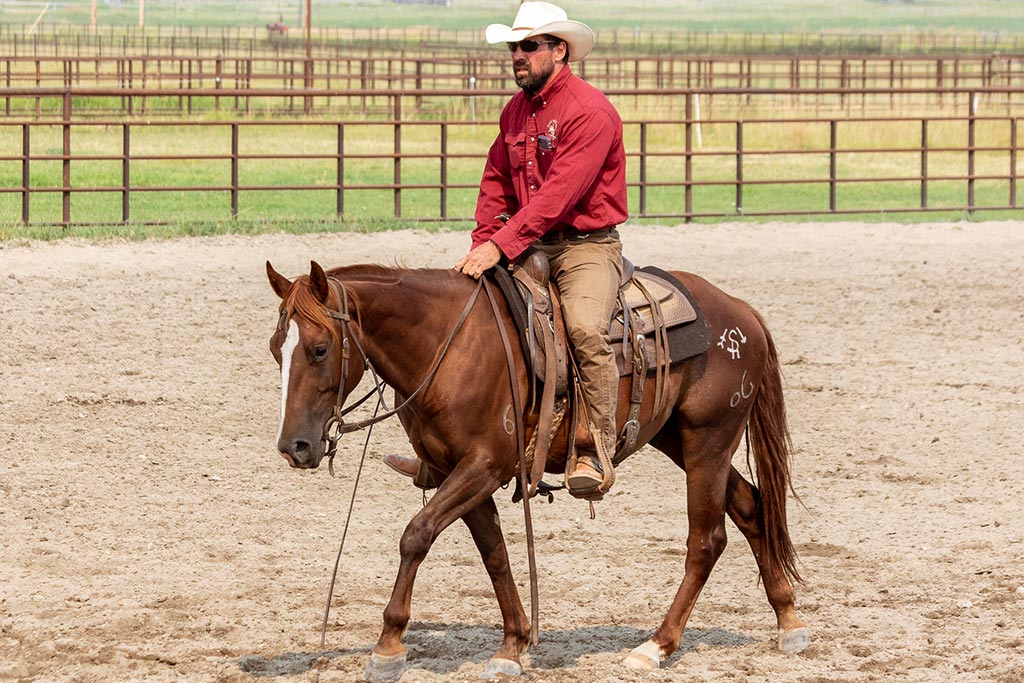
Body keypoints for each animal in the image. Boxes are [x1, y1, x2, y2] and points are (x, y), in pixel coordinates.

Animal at [268, 259, 811, 679]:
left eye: (318, 349)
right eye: (277, 350)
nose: (294, 446)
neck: (450, 344)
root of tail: (741, 313)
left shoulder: (484, 465)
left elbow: (416, 534)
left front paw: (388, 646)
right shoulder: (457, 471)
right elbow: (495, 555)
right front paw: (514, 644)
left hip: (708, 441)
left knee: (706, 540)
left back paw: (655, 646)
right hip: (678, 439)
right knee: (751, 507)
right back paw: (788, 621)